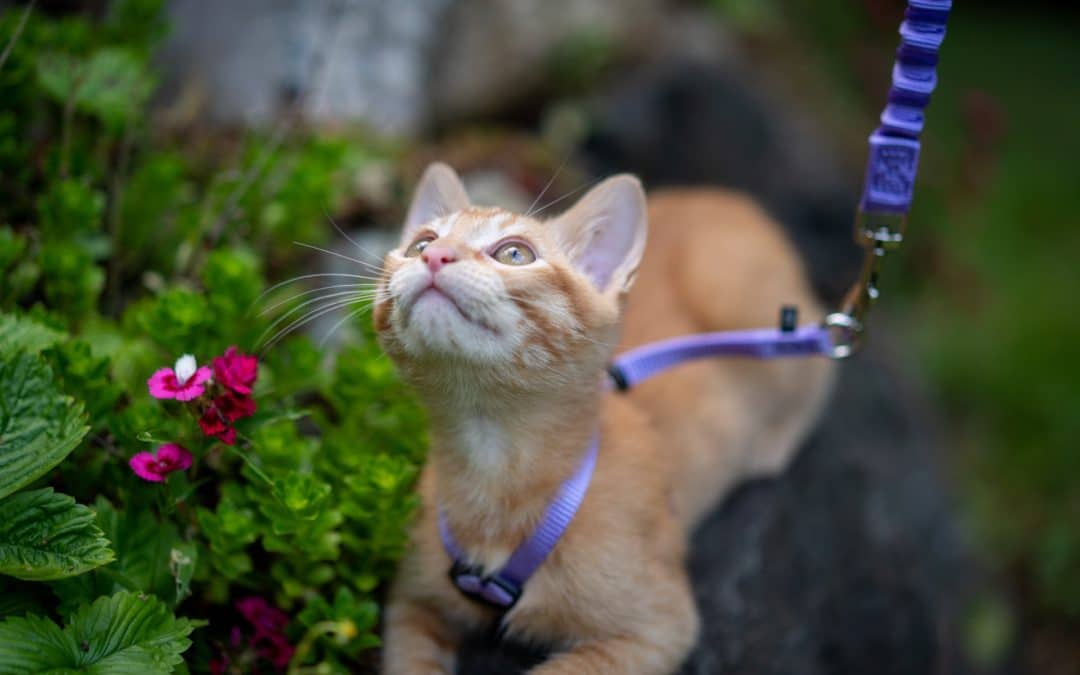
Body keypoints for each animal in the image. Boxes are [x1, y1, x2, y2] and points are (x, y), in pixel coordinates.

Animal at [378, 160, 833, 669]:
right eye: (420, 243)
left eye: (514, 253)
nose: (435, 256)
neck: (492, 465)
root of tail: (729, 198)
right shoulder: (412, 603)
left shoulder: (660, 626)